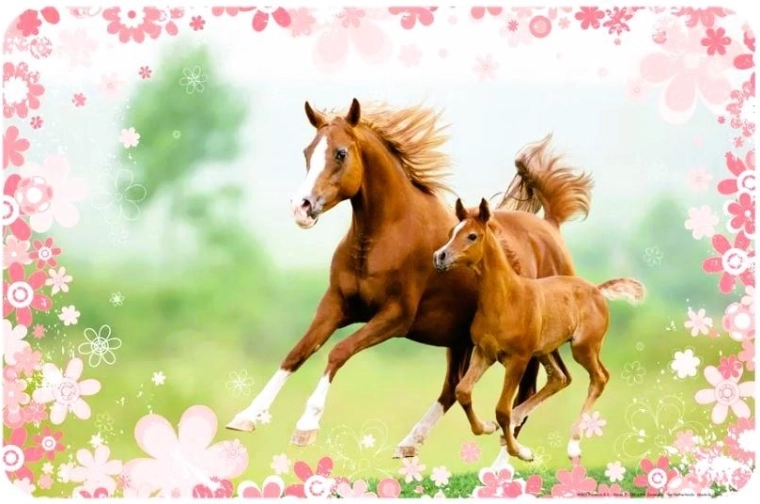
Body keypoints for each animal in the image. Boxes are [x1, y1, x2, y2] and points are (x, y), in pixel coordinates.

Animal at [226, 98, 594, 460]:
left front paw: (306, 426)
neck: (384, 236)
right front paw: (247, 416)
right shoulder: (336, 305)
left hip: (528, 346)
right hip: (461, 339)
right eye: (307, 151)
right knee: (453, 388)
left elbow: (337, 352)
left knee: (526, 394)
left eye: (340, 153)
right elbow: (297, 353)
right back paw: (411, 442)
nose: (301, 208)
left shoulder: (395, 317)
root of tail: (550, 227)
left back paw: (505, 462)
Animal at [433, 197, 645, 463]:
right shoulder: (484, 353)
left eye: (472, 236)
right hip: (545, 350)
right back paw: (514, 422)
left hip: (582, 348)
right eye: (452, 232)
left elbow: (501, 409)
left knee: (599, 378)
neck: (506, 299)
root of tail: (597, 290)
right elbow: (463, 391)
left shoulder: (518, 359)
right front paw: (487, 427)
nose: (439, 256)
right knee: (559, 378)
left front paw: (521, 452)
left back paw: (573, 444)